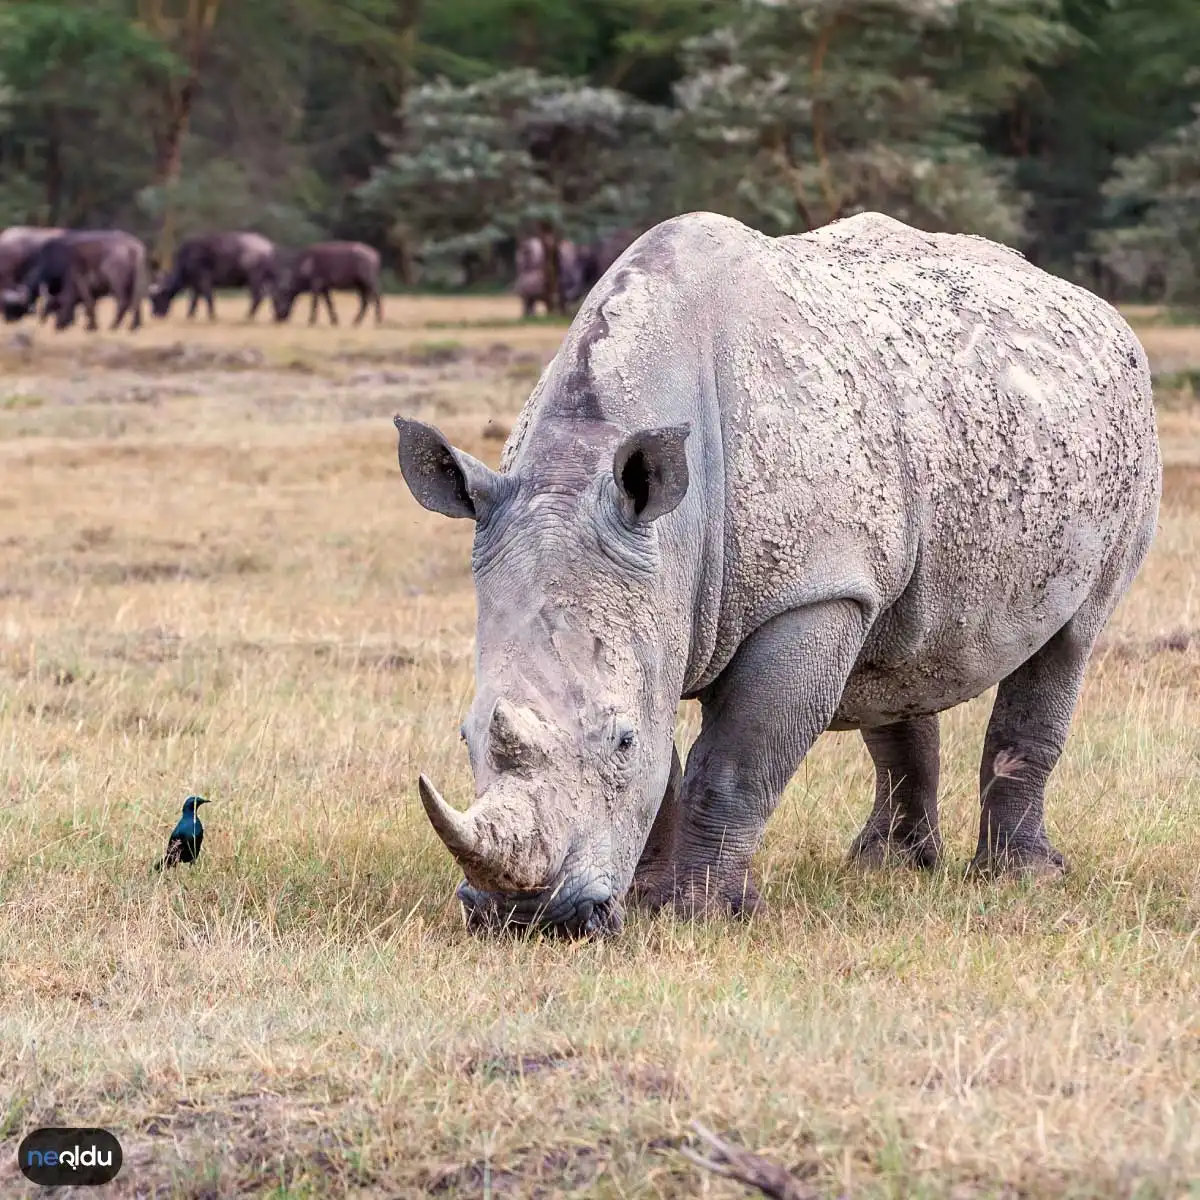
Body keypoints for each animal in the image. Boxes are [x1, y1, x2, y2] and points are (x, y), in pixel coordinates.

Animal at [150, 230, 278, 319]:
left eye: (157, 298)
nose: (155, 314)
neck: (186, 258)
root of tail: (268, 247)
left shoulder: (203, 279)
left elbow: (208, 296)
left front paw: (212, 315)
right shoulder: (196, 284)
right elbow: (194, 298)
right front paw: (190, 314)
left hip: (254, 278)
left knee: (258, 295)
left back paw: (248, 315)